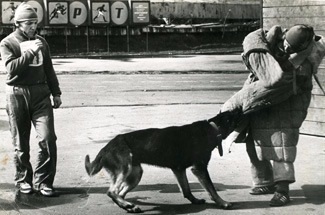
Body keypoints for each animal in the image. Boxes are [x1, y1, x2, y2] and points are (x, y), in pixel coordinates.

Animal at [85, 111, 239, 213]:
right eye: (235, 114)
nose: (242, 108)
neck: (213, 127)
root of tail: (104, 149)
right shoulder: (199, 168)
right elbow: (212, 189)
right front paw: (223, 203)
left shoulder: (179, 169)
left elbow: (186, 190)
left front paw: (195, 200)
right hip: (125, 168)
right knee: (111, 192)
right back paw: (128, 205)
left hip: (135, 173)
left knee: (119, 193)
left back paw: (128, 205)